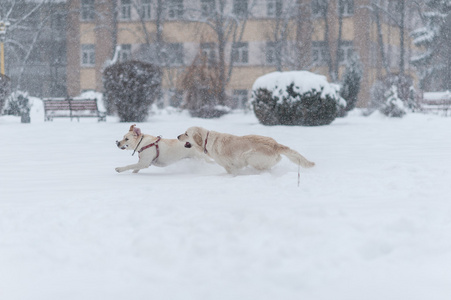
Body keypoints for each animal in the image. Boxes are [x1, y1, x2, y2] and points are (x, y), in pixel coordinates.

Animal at [177, 125, 314, 175]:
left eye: (186, 133)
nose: (177, 136)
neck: (207, 140)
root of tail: (275, 144)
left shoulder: (230, 165)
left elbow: (232, 172)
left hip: (249, 156)